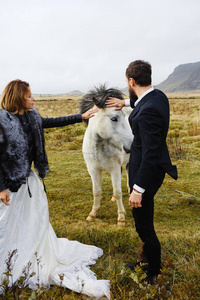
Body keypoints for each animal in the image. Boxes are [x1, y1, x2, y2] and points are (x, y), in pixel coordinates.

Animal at [79, 84, 134, 225]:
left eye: (123, 117)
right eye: (114, 118)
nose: (131, 145)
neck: (98, 149)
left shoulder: (114, 170)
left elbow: (118, 191)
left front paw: (121, 218)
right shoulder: (93, 171)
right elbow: (96, 192)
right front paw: (92, 214)